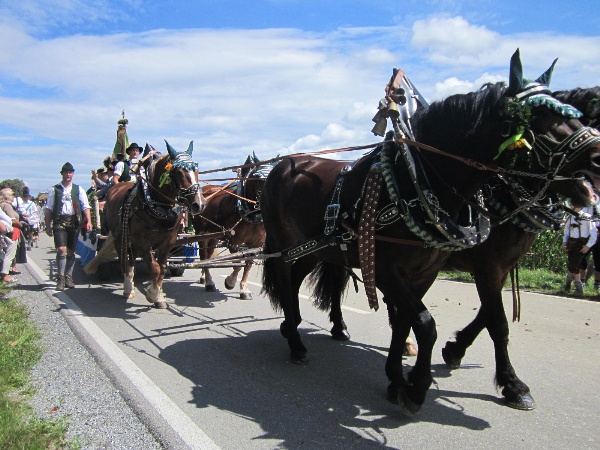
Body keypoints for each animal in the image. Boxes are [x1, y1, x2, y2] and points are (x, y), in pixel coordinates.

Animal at [84, 142, 205, 308]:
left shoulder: (169, 242)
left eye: (196, 170)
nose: (199, 204)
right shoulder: (142, 242)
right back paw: (128, 288)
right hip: (120, 236)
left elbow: (162, 268)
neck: (157, 207)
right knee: (125, 260)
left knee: (131, 259)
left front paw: (158, 295)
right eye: (179, 172)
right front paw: (152, 294)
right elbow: (154, 268)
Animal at [192, 154, 274, 298]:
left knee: (208, 255)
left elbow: (248, 265)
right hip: (200, 233)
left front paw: (244, 289)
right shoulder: (234, 241)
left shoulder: (256, 244)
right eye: (258, 177)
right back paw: (209, 282)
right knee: (203, 256)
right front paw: (230, 282)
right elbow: (237, 264)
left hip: (214, 236)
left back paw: (204, 278)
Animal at [260, 50, 600, 414]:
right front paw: (423, 386)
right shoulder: (418, 269)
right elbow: (447, 324)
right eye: (538, 117)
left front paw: (403, 376)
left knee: (302, 283)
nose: (596, 159)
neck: (416, 182)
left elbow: (419, 322)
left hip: (318, 248)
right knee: (286, 282)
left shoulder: (439, 271)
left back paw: (303, 326)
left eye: (579, 117)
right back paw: (296, 342)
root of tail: (281, 166)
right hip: (282, 246)